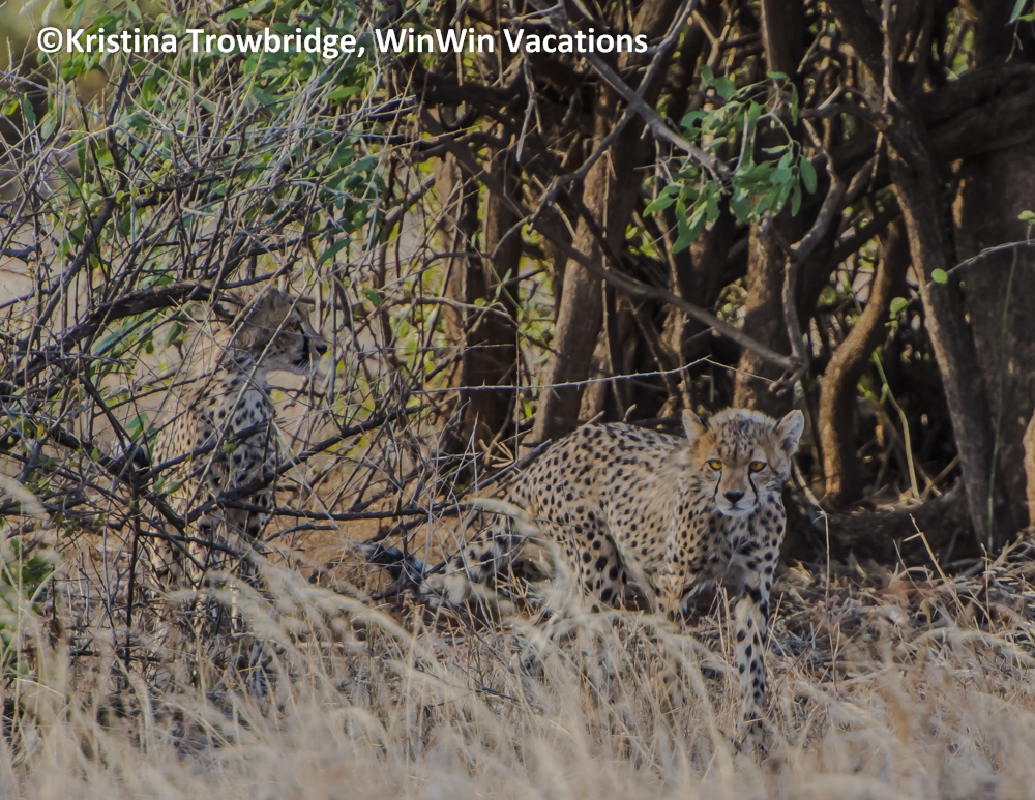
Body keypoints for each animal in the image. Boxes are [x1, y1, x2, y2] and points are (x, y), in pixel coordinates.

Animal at [148, 286, 327, 622]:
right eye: (294, 325)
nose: (323, 347)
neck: (247, 384)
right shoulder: (203, 514)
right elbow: (205, 577)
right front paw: (206, 623)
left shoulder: (253, 512)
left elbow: (247, 575)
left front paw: (245, 623)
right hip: (164, 540)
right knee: (165, 593)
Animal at [413, 407, 803, 750]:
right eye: (715, 464)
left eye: (757, 466)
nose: (734, 496)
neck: (736, 522)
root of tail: (554, 450)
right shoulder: (672, 585)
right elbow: (672, 660)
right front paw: (673, 721)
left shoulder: (754, 586)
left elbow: (753, 665)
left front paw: (753, 737)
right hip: (600, 570)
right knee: (585, 651)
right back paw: (599, 722)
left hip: (578, 581)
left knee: (536, 642)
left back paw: (534, 707)